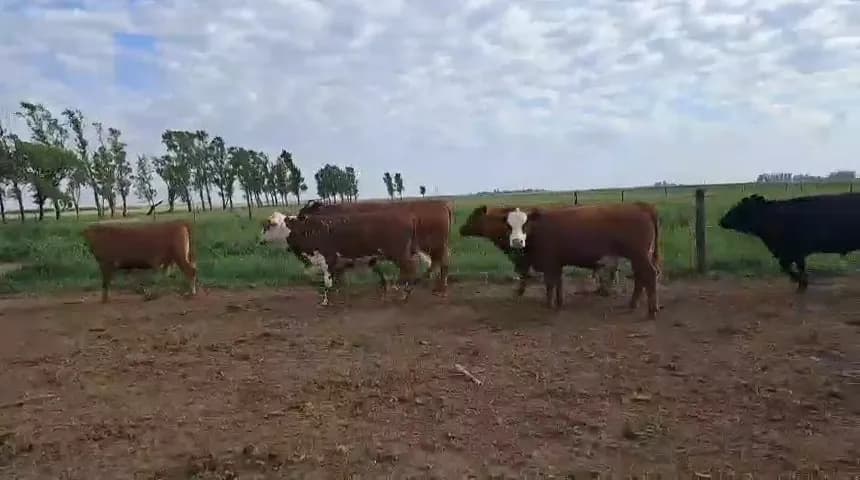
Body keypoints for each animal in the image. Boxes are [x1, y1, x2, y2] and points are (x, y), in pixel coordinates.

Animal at [259, 210, 421, 306]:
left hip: (399, 254)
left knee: (411, 269)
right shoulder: (336, 264)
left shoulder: (328, 259)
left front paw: (325, 301)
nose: (260, 241)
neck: (308, 230)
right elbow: (337, 281)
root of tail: (406, 217)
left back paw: (404, 294)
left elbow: (327, 282)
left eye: (268, 226)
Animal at [297, 199, 454, 295]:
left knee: (440, 263)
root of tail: (442, 204)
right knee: (438, 263)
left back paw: (436, 287)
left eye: (302, 215)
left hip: (435, 246)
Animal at [459, 204, 628, 297]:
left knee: (610, 271)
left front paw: (519, 292)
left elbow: (524, 275)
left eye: (473, 217)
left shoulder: (525, 259)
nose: (461, 229)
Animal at [493, 202, 661, 317]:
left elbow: (550, 284)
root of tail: (640, 206)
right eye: (508, 225)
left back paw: (652, 310)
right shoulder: (557, 263)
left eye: (525, 224)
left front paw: (549, 305)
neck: (539, 229)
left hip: (639, 255)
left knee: (649, 275)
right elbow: (558, 283)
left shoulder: (549, 262)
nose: (517, 241)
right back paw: (633, 304)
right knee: (640, 277)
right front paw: (559, 303)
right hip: (638, 257)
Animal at [718, 192, 860, 292]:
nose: (721, 221)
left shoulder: (796, 251)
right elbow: (786, 267)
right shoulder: (788, 253)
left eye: (740, 208)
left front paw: (801, 282)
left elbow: (795, 267)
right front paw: (799, 281)